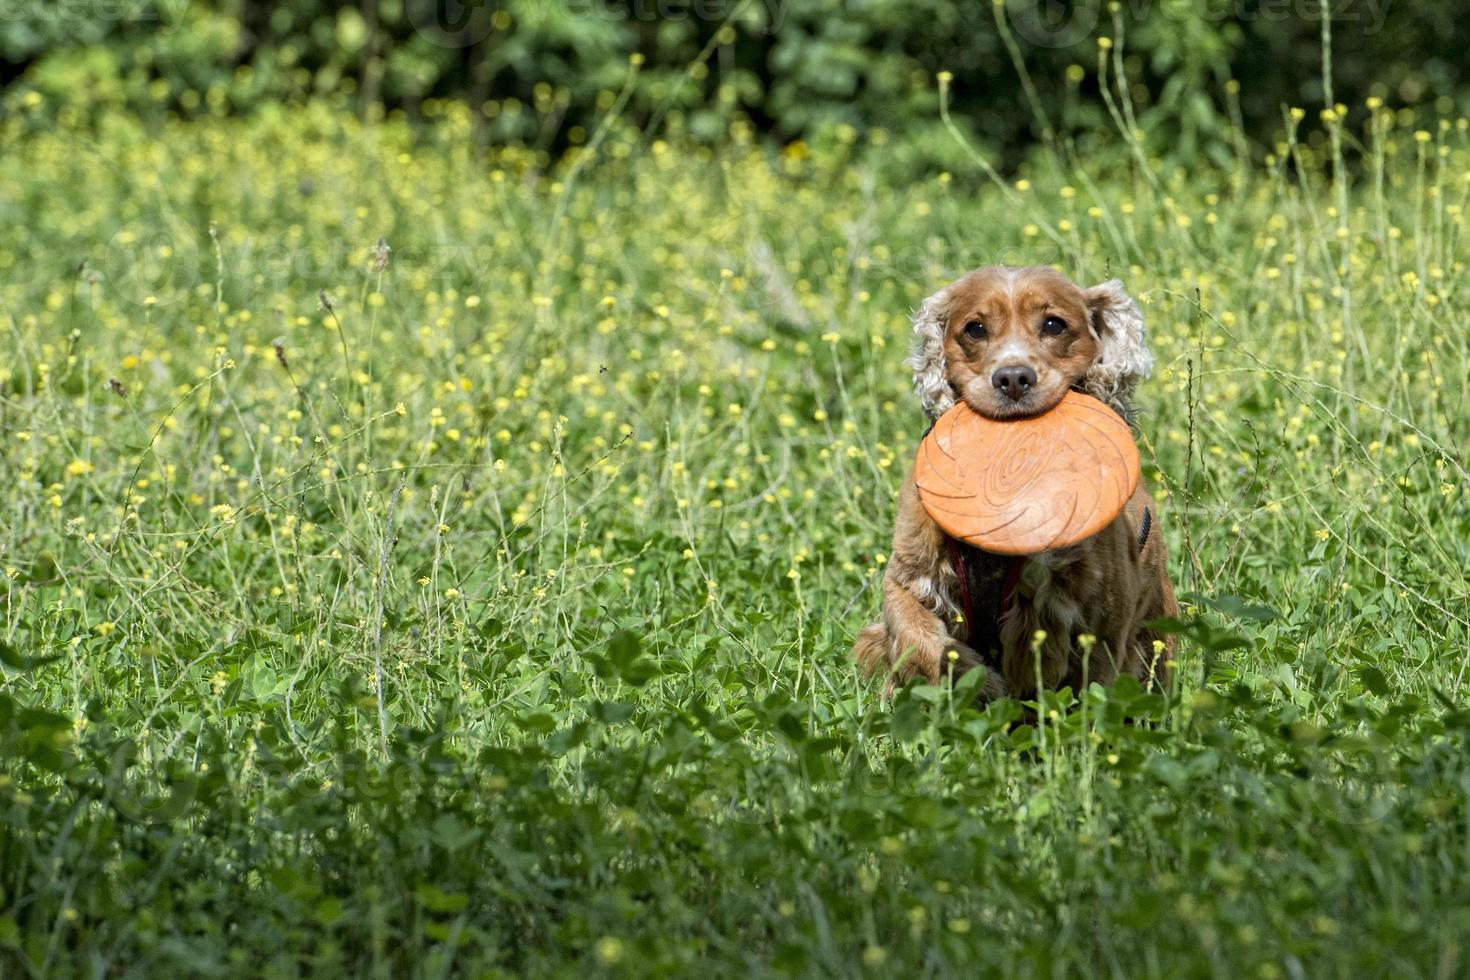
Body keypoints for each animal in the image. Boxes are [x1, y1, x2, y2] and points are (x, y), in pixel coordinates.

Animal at [858, 264, 1176, 702]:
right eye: (974, 329)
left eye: (1054, 324)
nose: (1012, 377)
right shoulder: (907, 576)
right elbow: (919, 636)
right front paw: (981, 680)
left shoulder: (1105, 623)